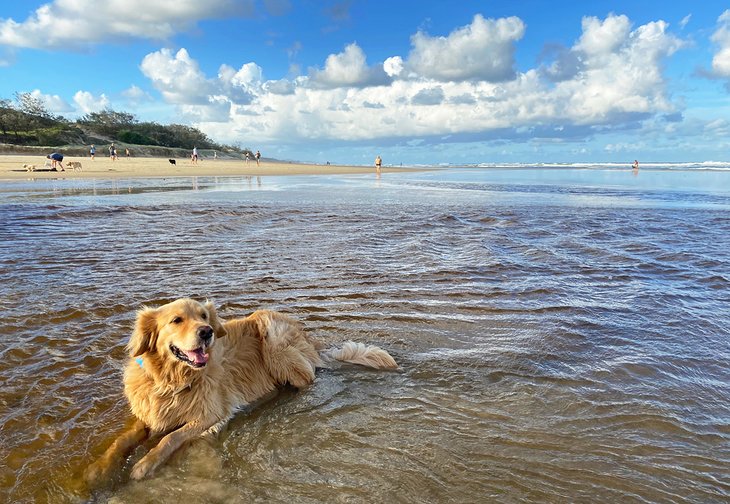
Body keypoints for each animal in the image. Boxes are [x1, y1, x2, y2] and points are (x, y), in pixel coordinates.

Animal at [84, 298, 398, 482]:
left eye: (204, 316)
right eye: (176, 320)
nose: (207, 332)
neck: (172, 381)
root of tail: (309, 338)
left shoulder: (209, 414)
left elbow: (170, 438)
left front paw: (144, 465)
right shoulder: (149, 413)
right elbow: (122, 440)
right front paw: (97, 470)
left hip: (271, 334)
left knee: (306, 379)